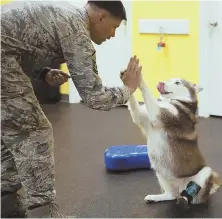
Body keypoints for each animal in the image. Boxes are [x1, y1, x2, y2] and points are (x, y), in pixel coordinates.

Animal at [122, 71, 221, 205]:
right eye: (168, 80)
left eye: (177, 82)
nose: (160, 83)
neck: (173, 101)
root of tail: (180, 188)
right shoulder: (141, 116)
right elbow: (135, 106)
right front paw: (128, 79)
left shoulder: (158, 114)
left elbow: (147, 93)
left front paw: (139, 77)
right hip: (161, 173)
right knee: (171, 195)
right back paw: (156, 197)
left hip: (206, 172)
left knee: (193, 197)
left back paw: (185, 199)